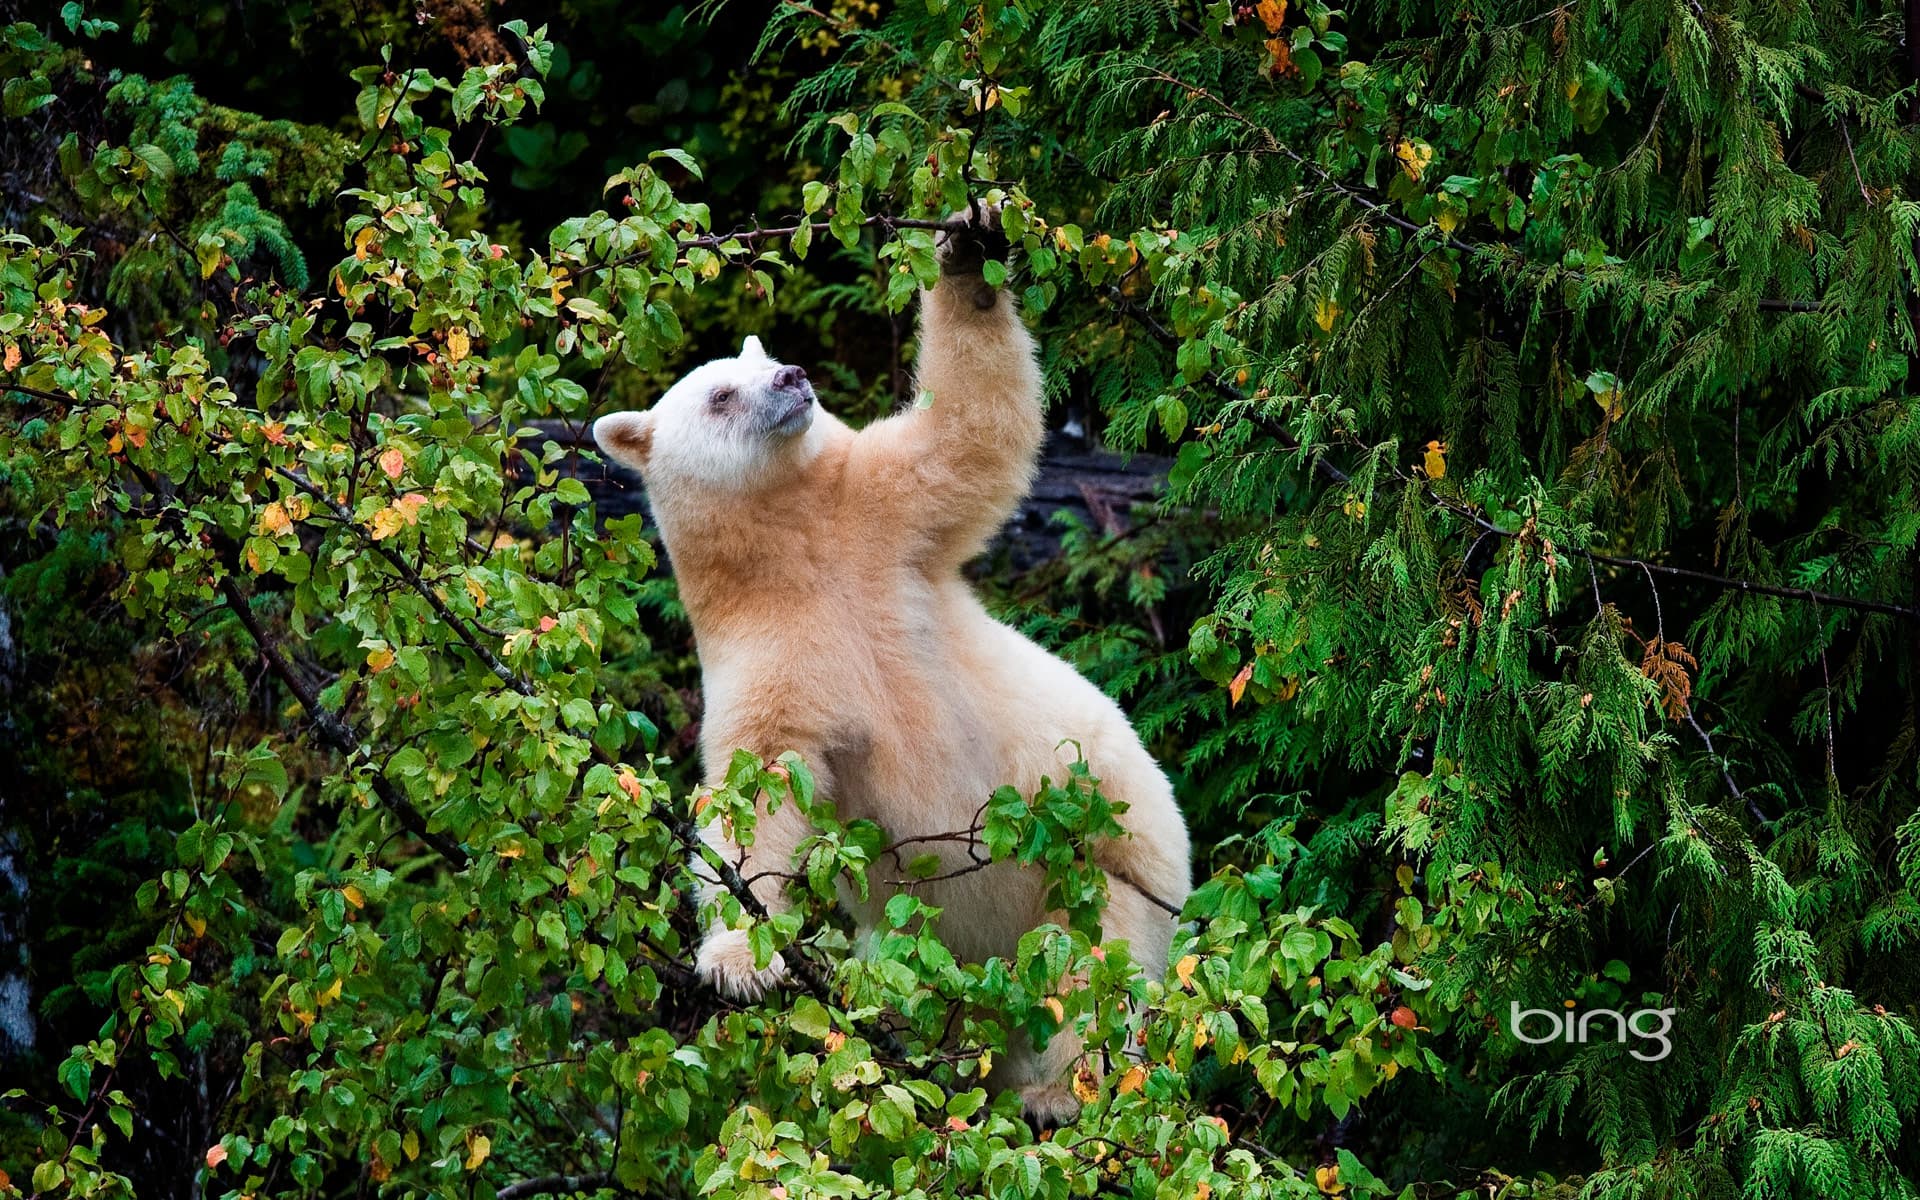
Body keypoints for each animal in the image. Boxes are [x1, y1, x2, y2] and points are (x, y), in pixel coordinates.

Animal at [591, 211, 1192, 1123]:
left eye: (767, 359)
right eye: (721, 393)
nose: (794, 377)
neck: (800, 544)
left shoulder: (888, 522)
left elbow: (968, 436)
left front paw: (970, 250)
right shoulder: (764, 649)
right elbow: (756, 785)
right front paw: (739, 962)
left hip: (1118, 860)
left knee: (1092, 969)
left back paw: (1058, 1092)